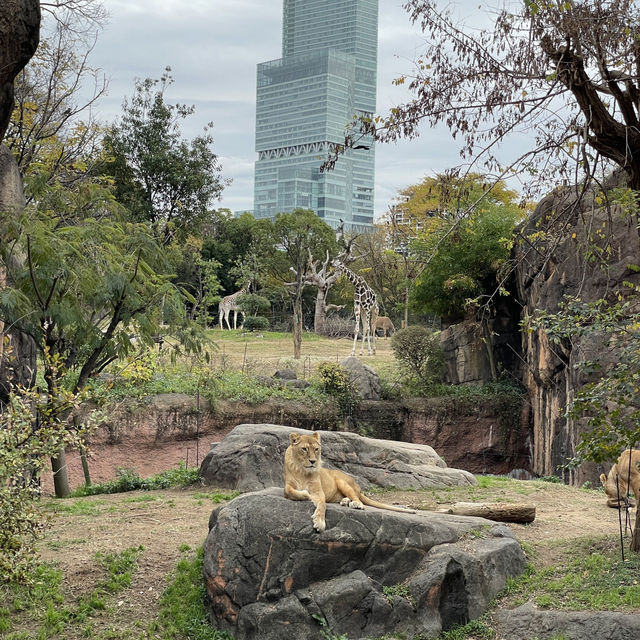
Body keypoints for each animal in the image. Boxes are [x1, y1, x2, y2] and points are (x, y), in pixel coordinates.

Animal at [284, 432, 416, 532]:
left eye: (316, 449)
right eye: (304, 449)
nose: (313, 461)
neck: (302, 471)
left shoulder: (318, 491)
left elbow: (322, 505)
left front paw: (320, 523)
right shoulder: (288, 485)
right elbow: (290, 491)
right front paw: (305, 494)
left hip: (342, 481)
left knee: (358, 500)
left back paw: (355, 504)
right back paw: (345, 501)